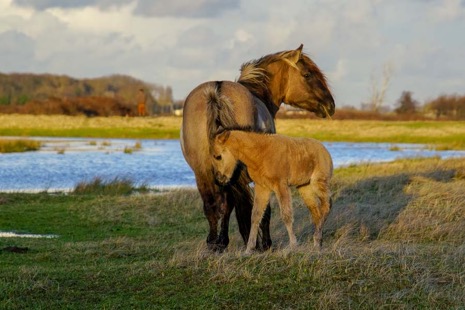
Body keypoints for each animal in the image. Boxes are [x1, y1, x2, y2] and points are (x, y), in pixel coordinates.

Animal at [179, 43, 336, 252]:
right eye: (307, 74)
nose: (330, 105)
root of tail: (217, 92)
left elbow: (229, 207)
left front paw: (223, 241)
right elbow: (263, 208)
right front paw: (265, 244)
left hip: (202, 172)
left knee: (213, 205)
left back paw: (214, 243)